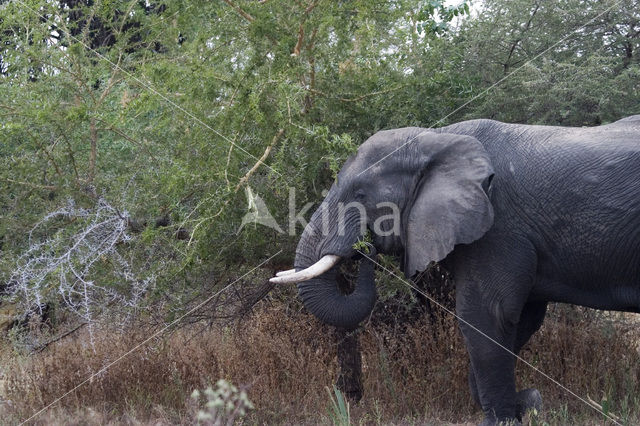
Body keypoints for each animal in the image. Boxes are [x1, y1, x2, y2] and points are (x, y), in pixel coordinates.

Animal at [270, 116, 640, 426]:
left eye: (360, 194)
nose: (365, 248)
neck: (438, 139)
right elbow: (521, 320)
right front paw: (529, 403)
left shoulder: (498, 226)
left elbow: (487, 317)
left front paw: (506, 419)